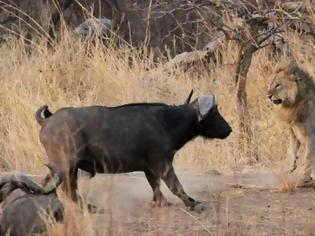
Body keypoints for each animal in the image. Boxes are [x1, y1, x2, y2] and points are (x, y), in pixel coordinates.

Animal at [35, 92, 232, 210]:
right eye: (215, 113)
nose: (229, 130)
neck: (167, 122)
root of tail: (47, 120)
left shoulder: (149, 168)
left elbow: (155, 185)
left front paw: (162, 202)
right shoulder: (162, 163)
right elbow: (174, 184)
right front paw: (191, 203)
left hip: (61, 167)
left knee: (50, 182)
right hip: (67, 165)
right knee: (68, 188)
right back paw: (88, 207)